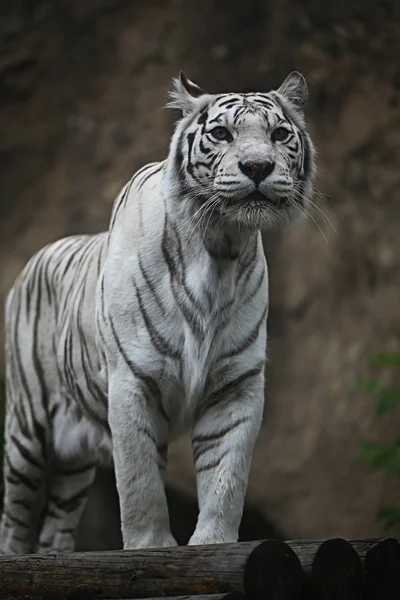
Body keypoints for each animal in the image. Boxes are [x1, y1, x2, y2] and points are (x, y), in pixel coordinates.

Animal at [0, 70, 316, 552]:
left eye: (279, 134)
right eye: (221, 134)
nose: (258, 167)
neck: (221, 248)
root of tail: (33, 261)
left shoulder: (236, 384)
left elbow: (228, 476)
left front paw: (213, 544)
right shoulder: (132, 380)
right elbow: (140, 480)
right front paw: (150, 546)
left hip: (73, 461)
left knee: (54, 527)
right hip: (27, 426)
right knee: (15, 514)